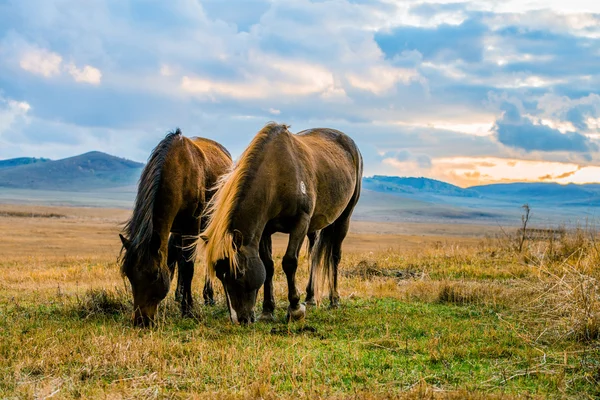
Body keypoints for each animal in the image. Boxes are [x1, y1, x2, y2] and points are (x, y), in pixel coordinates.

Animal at [118, 130, 231, 326]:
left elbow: (188, 267)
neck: (179, 171)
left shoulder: (191, 227)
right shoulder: (175, 229)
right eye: (129, 275)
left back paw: (208, 297)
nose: (141, 321)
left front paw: (188, 309)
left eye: (155, 275)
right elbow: (174, 259)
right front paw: (179, 299)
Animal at [200, 122, 360, 324]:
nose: (240, 319)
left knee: (334, 256)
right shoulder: (264, 229)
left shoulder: (300, 222)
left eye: (239, 273)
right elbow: (268, 266)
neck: (276, 174)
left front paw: (295, 309)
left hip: (343, 218)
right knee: (314, 254)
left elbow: (289, 262)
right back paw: (310, 297)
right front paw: (268, 310)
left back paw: (334, 299)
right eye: (220, 276)